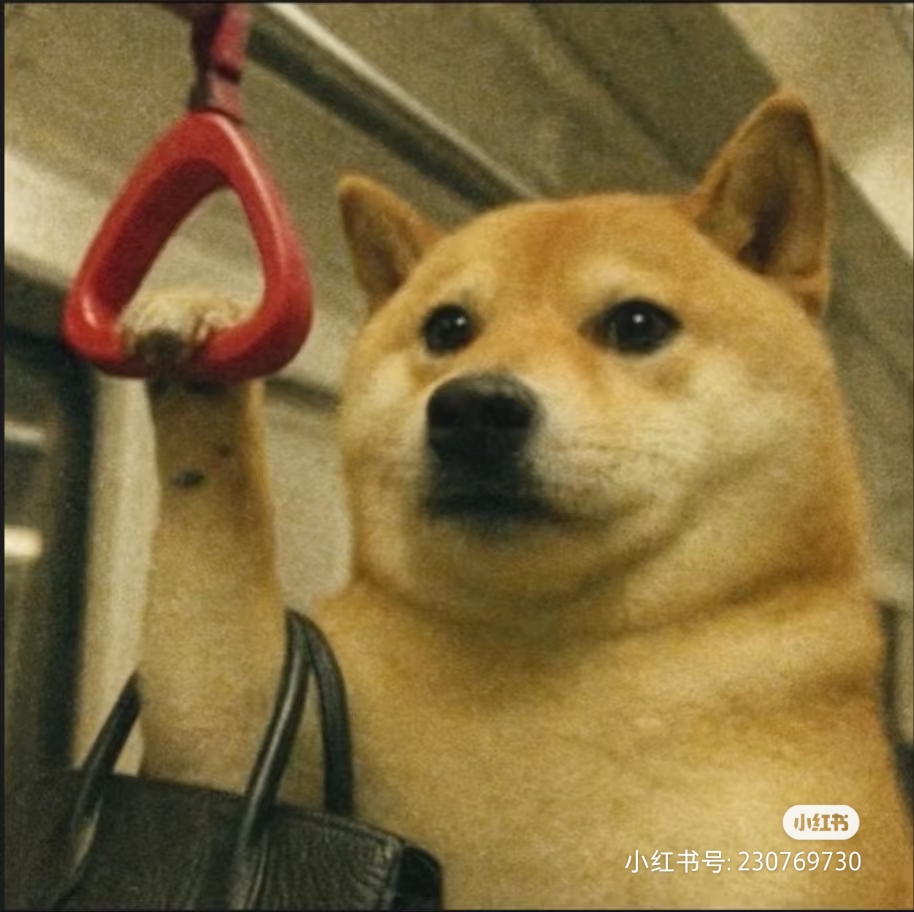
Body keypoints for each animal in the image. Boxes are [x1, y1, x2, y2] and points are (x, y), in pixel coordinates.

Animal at [123, 93, 913, 908]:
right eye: (448, 328)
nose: (473, 408)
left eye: (637, 324)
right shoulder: (234, 742)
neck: (540, 657)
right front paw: (198, 335)